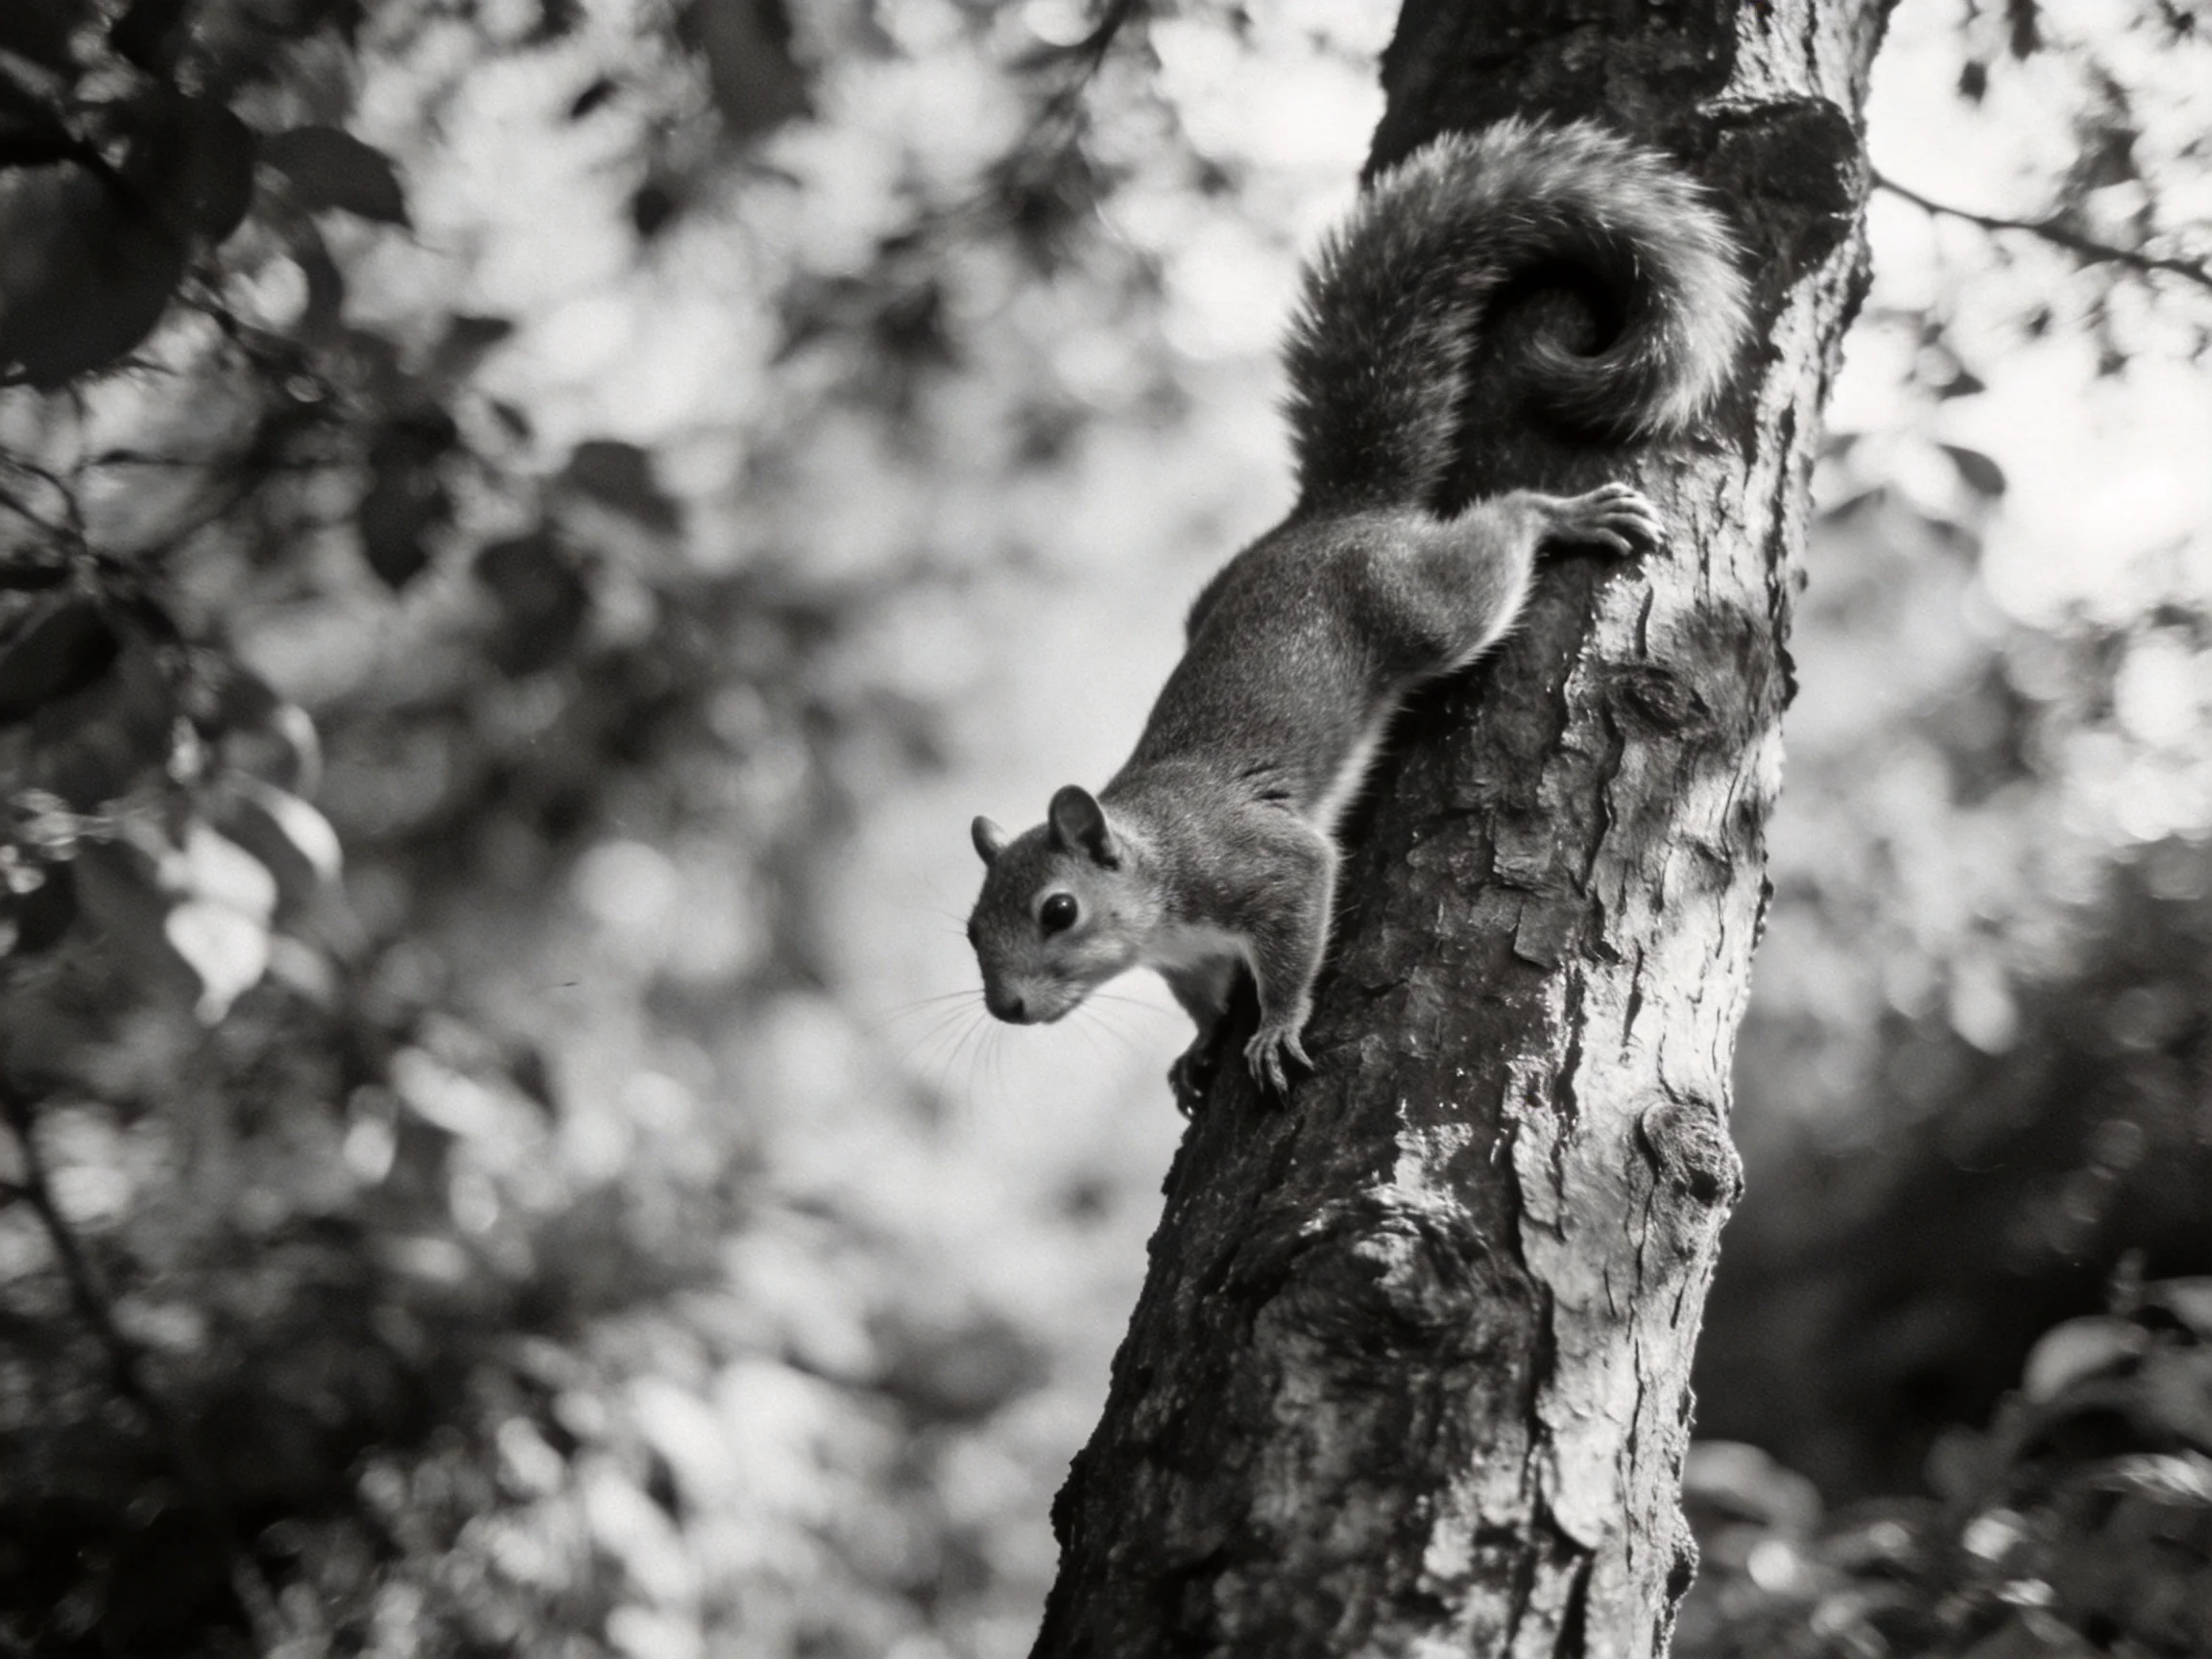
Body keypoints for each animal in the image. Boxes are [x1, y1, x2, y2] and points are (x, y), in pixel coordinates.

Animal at [965, 117, 1750, 1107]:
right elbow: (1201, 999)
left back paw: (1564, 515)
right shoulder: (1186, 957)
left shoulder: (1262, 863)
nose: (1006, 1008)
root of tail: (1338, 513)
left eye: (1057, 911)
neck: (1155, 871)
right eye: (970, 928)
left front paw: (1273, 1029)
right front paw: (1197, 1050)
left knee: (1501, 534)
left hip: (1421, 606)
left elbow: (1296, 929)